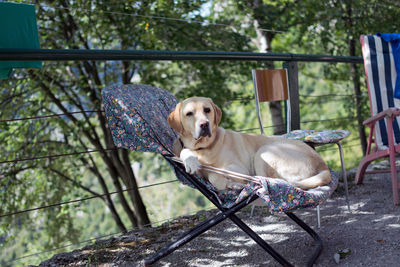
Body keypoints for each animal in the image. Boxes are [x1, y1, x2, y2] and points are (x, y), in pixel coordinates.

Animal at [169, 97, 332, 192]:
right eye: (189, 114)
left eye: (207, 110)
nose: (204, 124)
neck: (203, 148)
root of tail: (323, 165)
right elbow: (185, 153)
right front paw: (191, 161)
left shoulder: (239, 169)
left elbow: (216, 175)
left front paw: (232, 183)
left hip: (264, 151)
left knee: (274, 180)